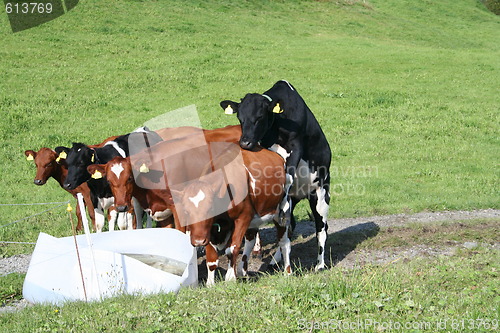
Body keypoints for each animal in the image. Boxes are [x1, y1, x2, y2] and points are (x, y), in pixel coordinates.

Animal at [220, 80, 332, 270]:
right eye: (240, 118)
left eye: (259, 117)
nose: (245, 142)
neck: (276, 127)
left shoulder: (295, 147)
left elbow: (287, 176)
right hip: (297, 197)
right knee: (289, 226)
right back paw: (276, 259)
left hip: (320, 192)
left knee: (321, 228)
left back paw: (320, 264)